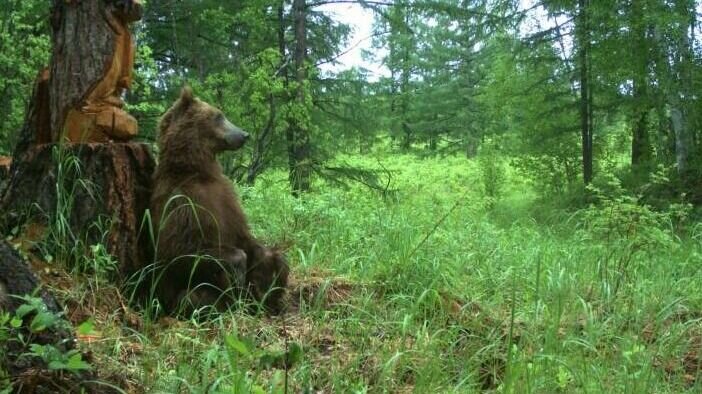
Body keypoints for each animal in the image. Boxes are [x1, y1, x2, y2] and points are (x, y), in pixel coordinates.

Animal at [148, 87, 288, 316]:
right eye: (218, 116)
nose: (244, 134)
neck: (196, 171)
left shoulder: (226, 199)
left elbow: (246, 239)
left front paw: (268, 263)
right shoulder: (180, 202)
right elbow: (178, 251)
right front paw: (238, 267)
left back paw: (268, 296)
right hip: (190, 295)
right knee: (193, 297)